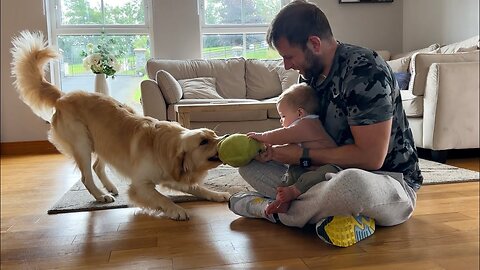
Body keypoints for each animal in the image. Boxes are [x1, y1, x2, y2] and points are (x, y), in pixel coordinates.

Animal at [10, 31, 229, 220]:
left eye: (214, 134)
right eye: (203, 142)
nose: (227, 137)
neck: (162, 147)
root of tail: (63, 96)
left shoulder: (174, 176)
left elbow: (199, 188)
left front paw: (217, 194)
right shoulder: (140, 185)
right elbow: (161, 197)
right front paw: (176, 209)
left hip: (104, 142)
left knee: (97, 166)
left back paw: (110, 187)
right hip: (82, 142)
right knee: (86, 176)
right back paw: (101, 195)